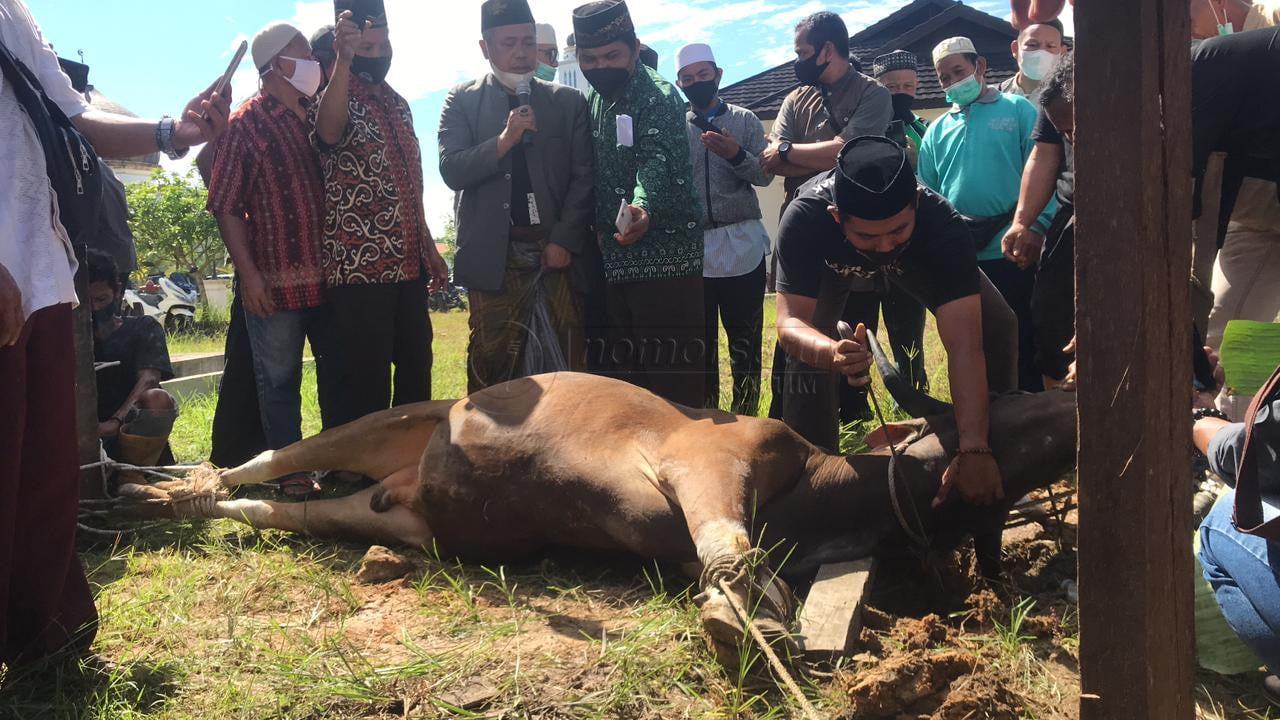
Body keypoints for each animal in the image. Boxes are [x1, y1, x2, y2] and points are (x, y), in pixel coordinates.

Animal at [124, 358, 1075, 661]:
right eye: (1013, 408)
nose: (1071, 399)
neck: (820, 495)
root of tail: (408, 480)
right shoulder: (706, 461)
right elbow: (728, 549)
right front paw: (739, 625)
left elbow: (734, 568)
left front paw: (751, 616)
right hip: (398, 416)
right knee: (266, 460)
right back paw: (163, 486)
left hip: (386, 518)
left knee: (278, 511)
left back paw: (167, 500)